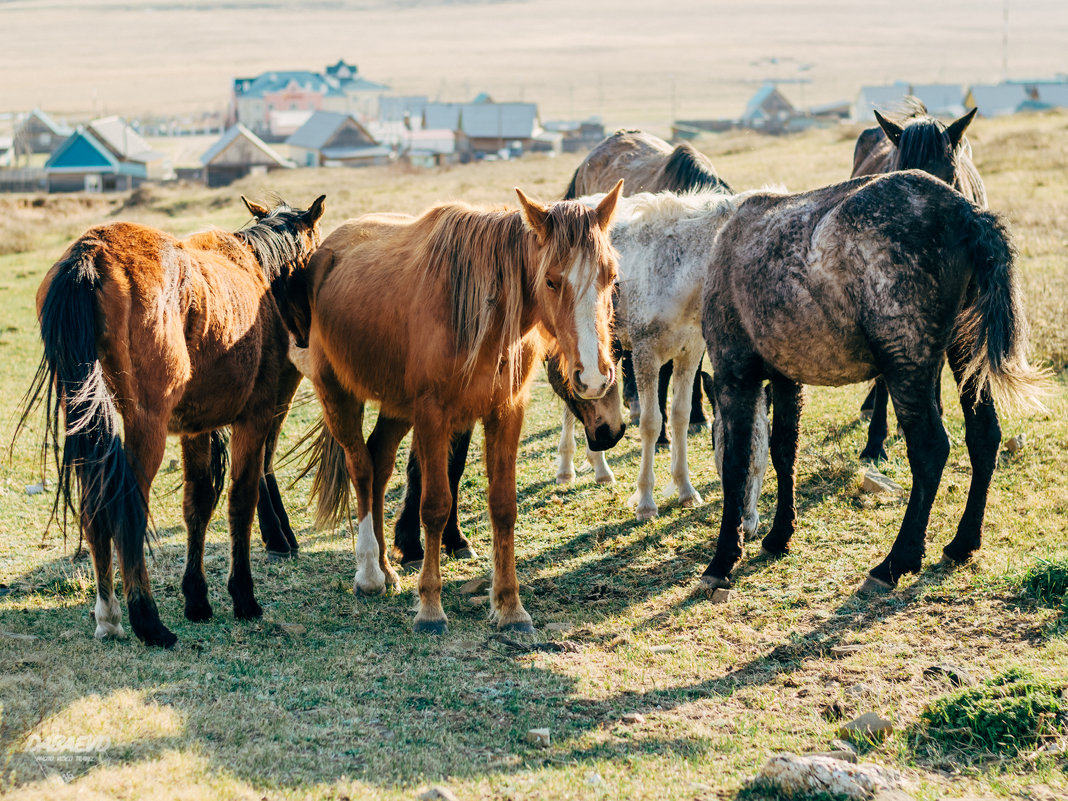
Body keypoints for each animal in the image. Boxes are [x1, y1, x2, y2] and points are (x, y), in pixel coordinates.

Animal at [19, 197, 324, 649]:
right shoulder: (253, 418)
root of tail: (91, 252)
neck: (256, 271)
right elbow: (240, 500)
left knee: (94, 508)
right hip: (147, 425)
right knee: (127, 505)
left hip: (85, 415)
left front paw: (197, 598)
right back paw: (147, 619)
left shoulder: (196, 430)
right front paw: (243, 595)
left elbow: (197, 504)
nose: (307, 335)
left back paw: (109, 615)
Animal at [284, 184, 623, 636]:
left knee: (379, 462)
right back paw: (369, 573)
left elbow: (503, 506)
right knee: (361, 467)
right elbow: (434, 506)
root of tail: (325, 250)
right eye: (551, 280)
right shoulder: (433, 415)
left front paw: (510, 607)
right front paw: (430, 607)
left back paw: (387, 569)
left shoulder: (506, 412)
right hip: (338, 394)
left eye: (611, 277)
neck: (483, 314)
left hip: (396, 407)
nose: (595, 376)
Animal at [700, 169, 1042, 598]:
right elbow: (783, 451)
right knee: (984, 437)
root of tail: (967, 213)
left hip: (907, 366)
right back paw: (962, 544)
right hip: (964, 354)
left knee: (931, 449)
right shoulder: (785, 378)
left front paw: (723, 558)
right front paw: (780, 535)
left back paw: (896, 561)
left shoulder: (734, 377)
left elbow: (737, 463)